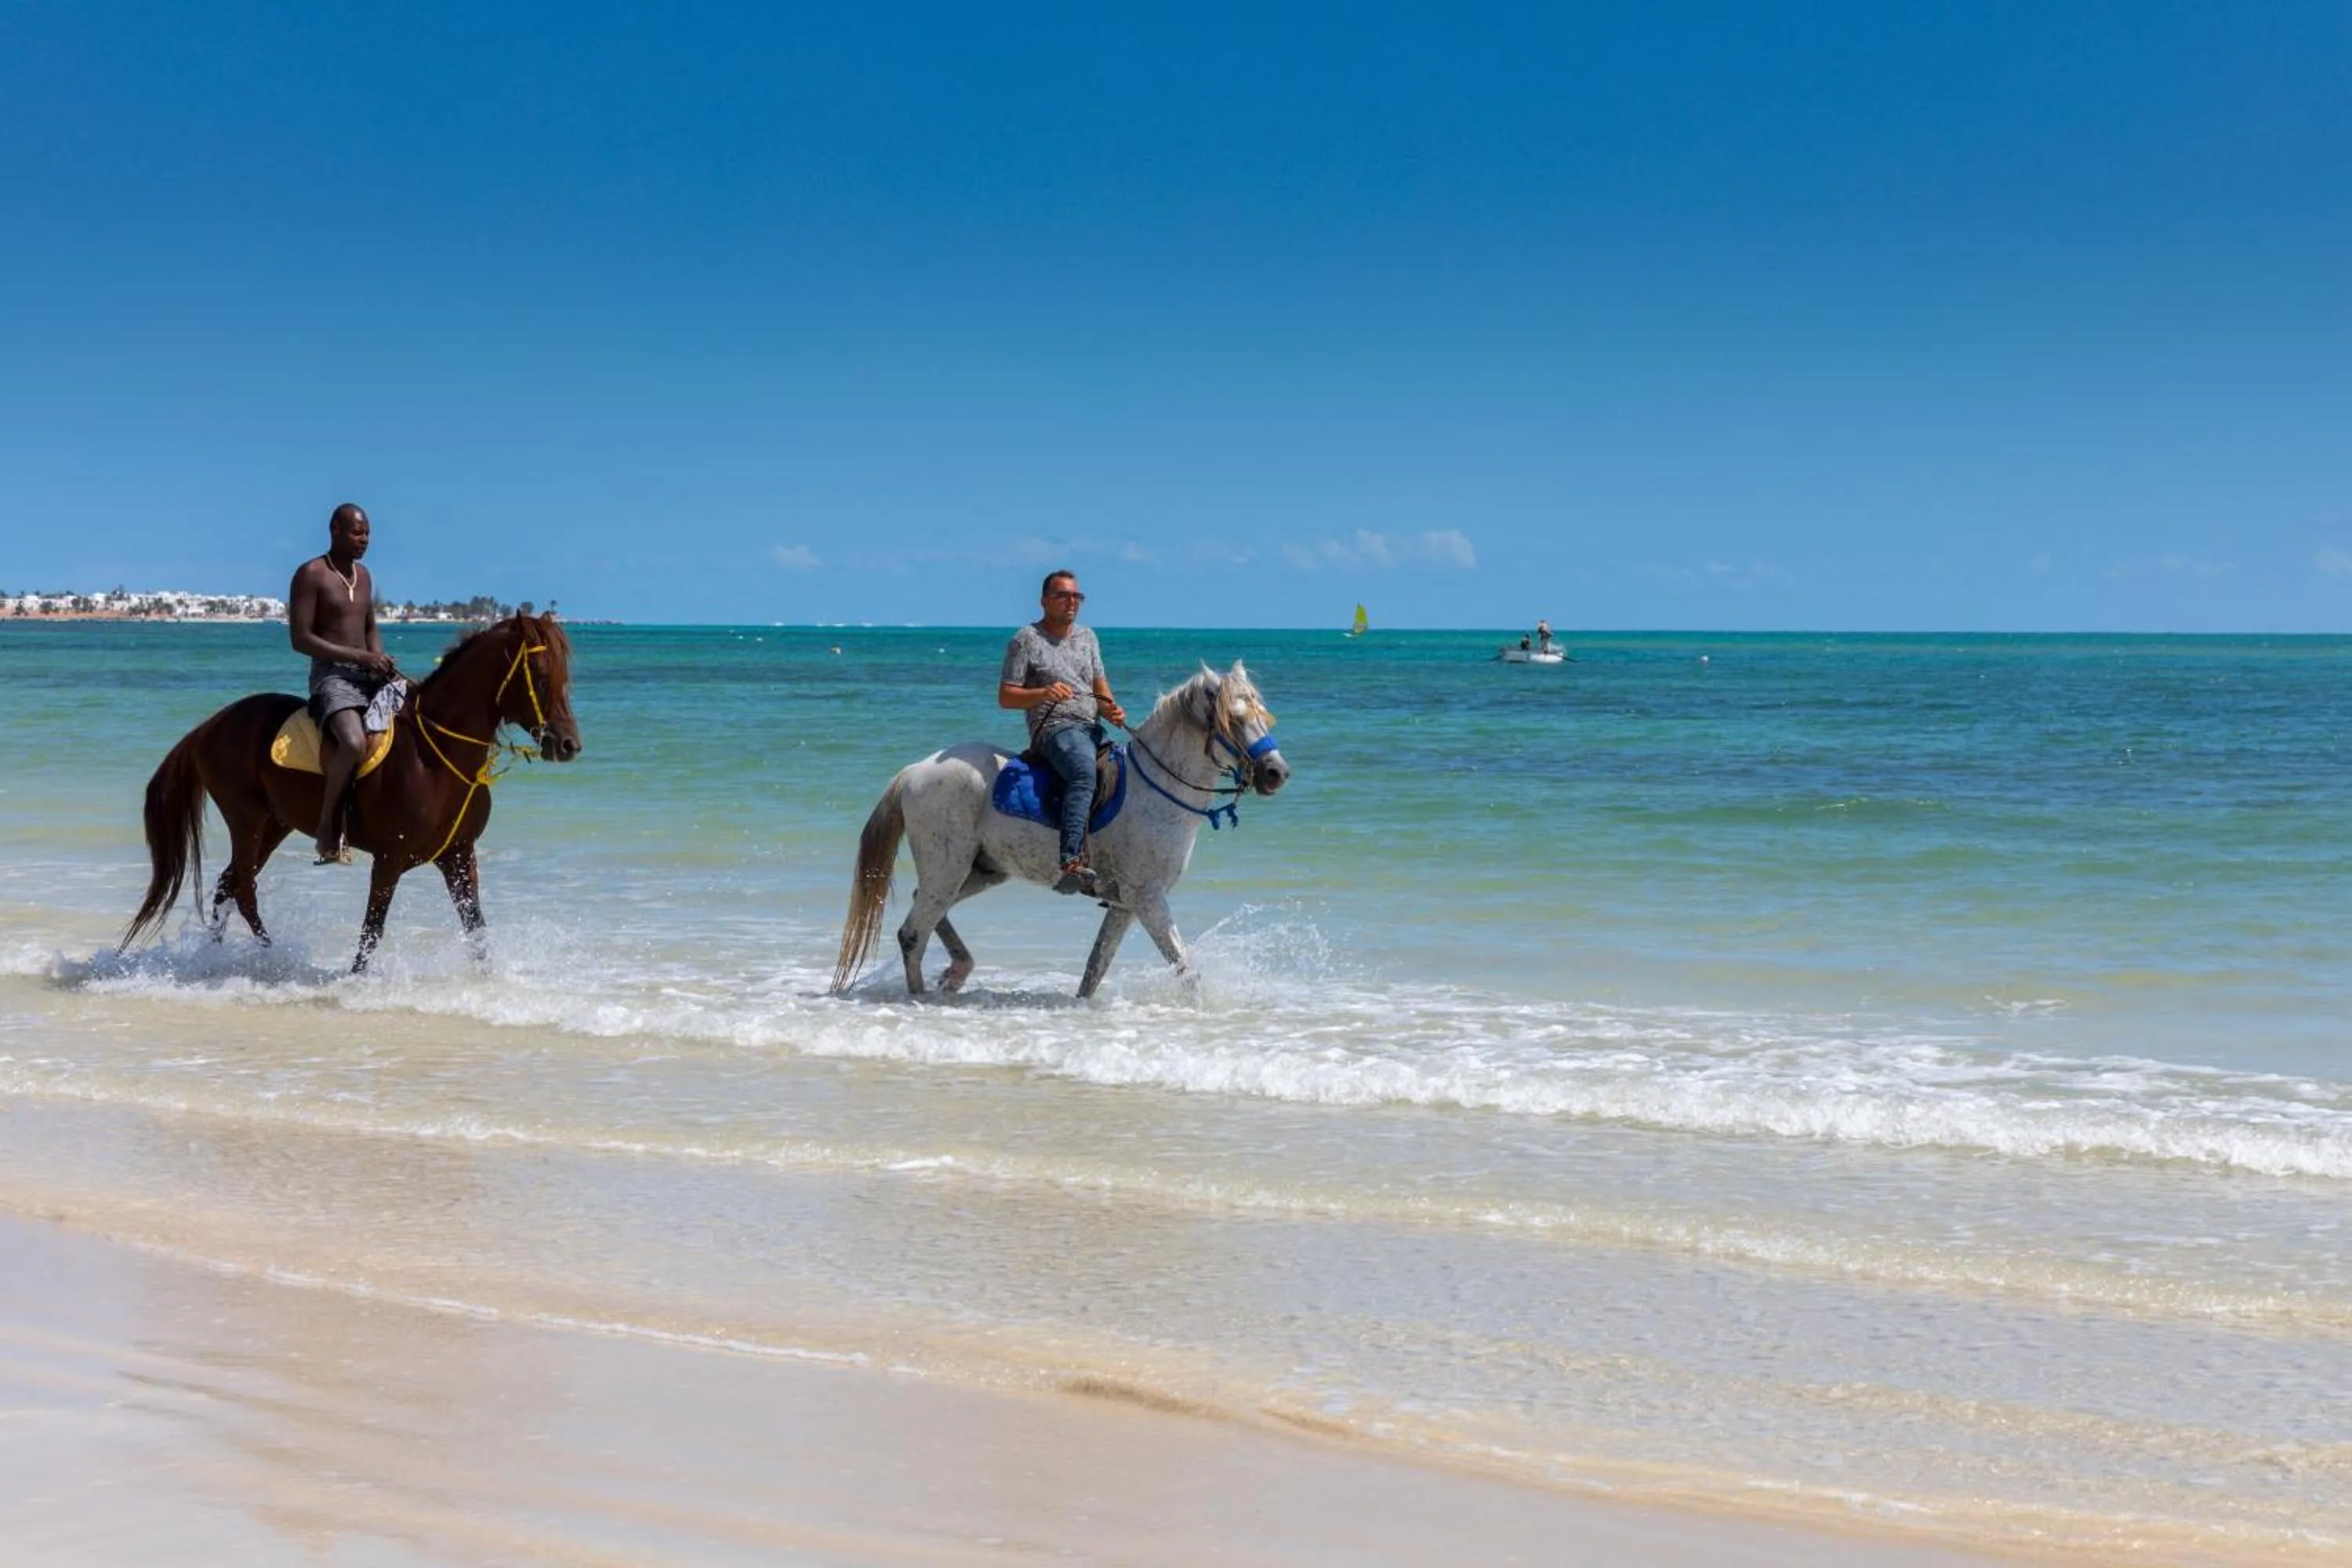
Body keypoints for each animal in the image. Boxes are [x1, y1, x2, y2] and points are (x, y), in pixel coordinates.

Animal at [120, 613, 583, 973]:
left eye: (566, 678)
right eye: (542, 678)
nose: (568, 745)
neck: (436, 754)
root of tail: (210, 726)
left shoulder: (458, 857)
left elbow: (478, 932)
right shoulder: (389, 860)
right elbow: (371, 934)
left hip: (275, 824)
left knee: (229, 884)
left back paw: (214, 958)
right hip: (246, 819)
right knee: (245, 891)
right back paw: (273, 958)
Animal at [831, 661, 1289, 999]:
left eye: (1262, 716)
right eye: (1233, 719)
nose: (1276, 772)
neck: (1157, 790)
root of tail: (915, 770)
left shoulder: (1124, 905)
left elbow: (1095, 970)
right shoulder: (1148, 898)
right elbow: (1186, 971)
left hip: (980, 871)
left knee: (924, 911)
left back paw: (958, 971)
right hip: (949, 868)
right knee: (913, 933)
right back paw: (922, 996)